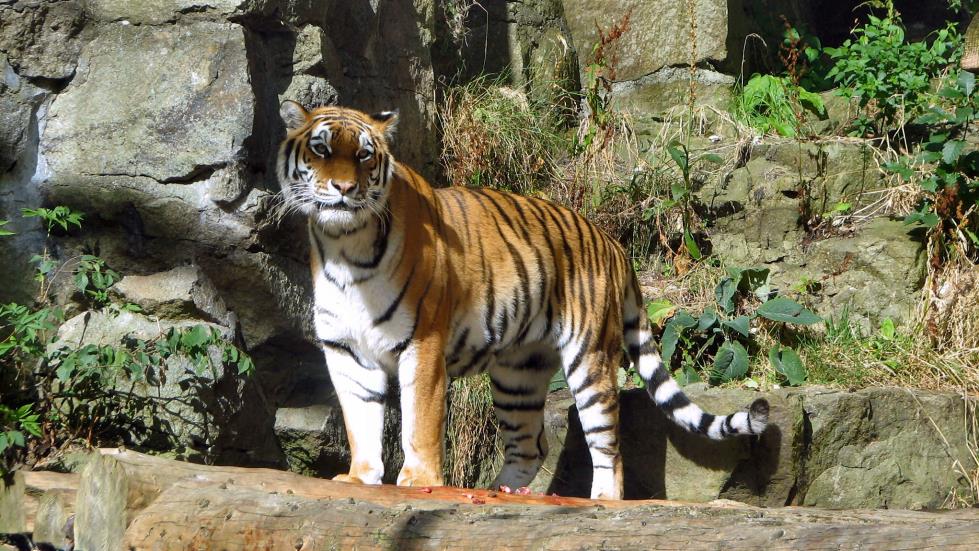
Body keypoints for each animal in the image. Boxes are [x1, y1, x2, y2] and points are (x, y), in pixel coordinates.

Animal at [278, 100, 772, 500]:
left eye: (364, 154)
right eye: (322, 149)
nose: (344, 189)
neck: (345, 246)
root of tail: (613, 243)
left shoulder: (423, 343)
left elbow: (420, 419)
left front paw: (419, 480)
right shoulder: (345, 351)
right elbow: (359, 420)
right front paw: (359, 477)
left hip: (589, 359)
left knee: (608, 446)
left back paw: (600, 500)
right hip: (519, 373)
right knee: (532, 444)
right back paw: (501, 491)